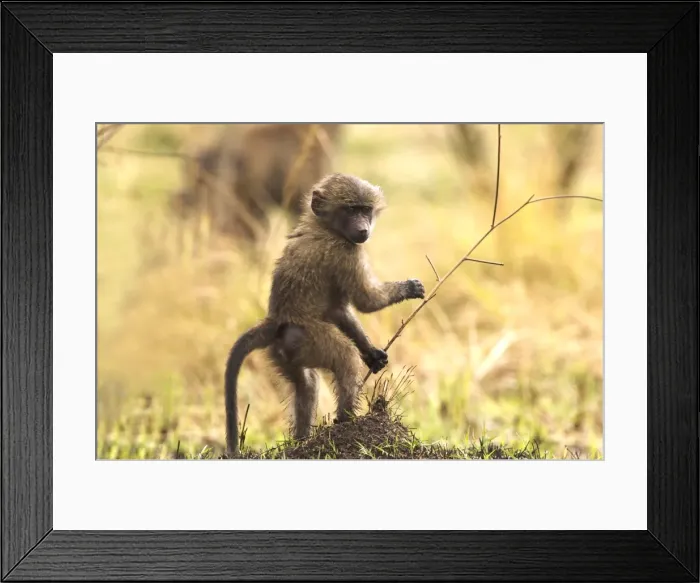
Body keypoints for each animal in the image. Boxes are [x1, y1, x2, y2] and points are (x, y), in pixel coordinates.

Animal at [223, 173, 425, 456]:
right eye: (351, 210)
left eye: (365, 210)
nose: (363, 229)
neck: (325, 227)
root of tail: (276, 320)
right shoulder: (346, 251)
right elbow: (366, 301)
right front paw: (410, 287)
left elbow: (338, 310)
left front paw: (371, 353)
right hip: (309, 338)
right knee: (344, 357)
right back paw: (346, 422)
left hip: (285, 351)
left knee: (306, 384)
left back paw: (301, 442)